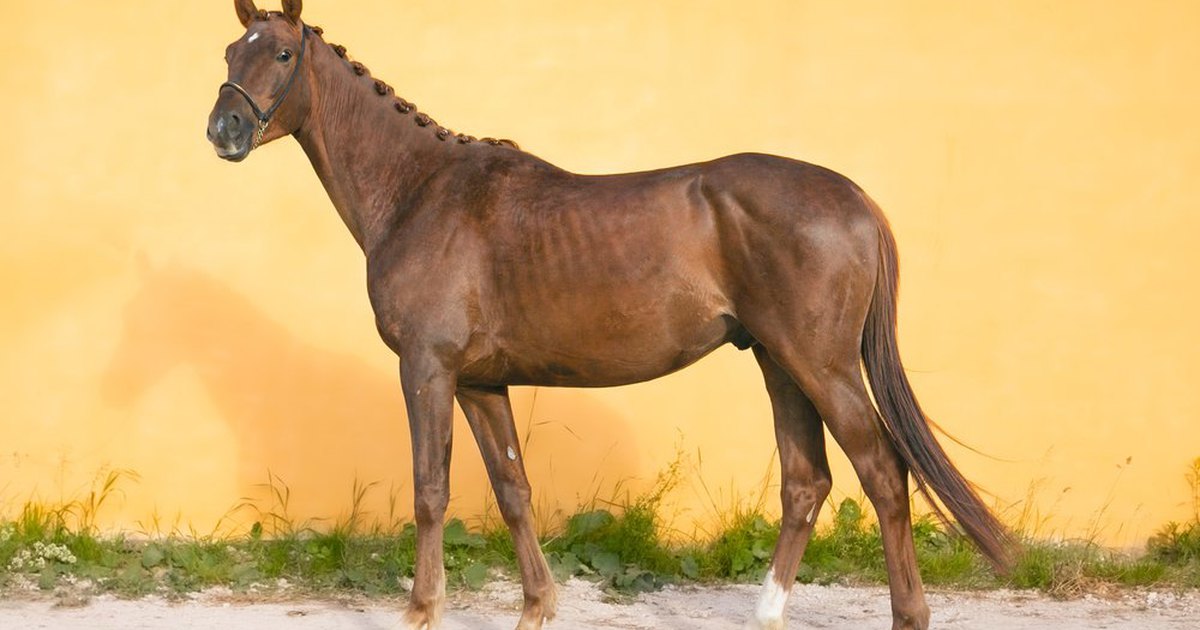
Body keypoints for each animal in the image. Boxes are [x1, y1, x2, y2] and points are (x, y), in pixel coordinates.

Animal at [206, 2, 1012, 624]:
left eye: (282, 52)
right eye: (229, 50)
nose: (224, 131)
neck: (421, 191)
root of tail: (855, 198)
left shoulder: (427, 369)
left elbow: (431, 491)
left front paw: (421, 610)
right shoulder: (481, 382)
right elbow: (513, 491)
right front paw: (537, 607)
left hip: (822, 365)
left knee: (883, 473)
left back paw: (908, 614)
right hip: (780, 362)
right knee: (807, 481)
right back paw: (766, 612)